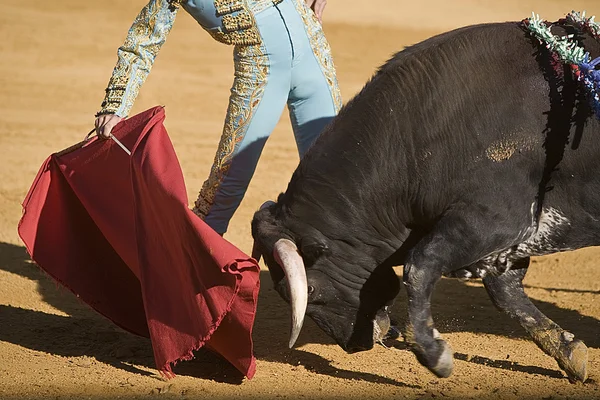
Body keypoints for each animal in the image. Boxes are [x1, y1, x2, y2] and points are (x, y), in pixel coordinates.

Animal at [250, 20, 600, 382]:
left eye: (311, 291)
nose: (352, 345)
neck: (414, 136)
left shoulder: (498, 218)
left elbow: (420, 265)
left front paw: (434, 354)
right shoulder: (504, 239)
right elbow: (505, 292)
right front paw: (570, 353)